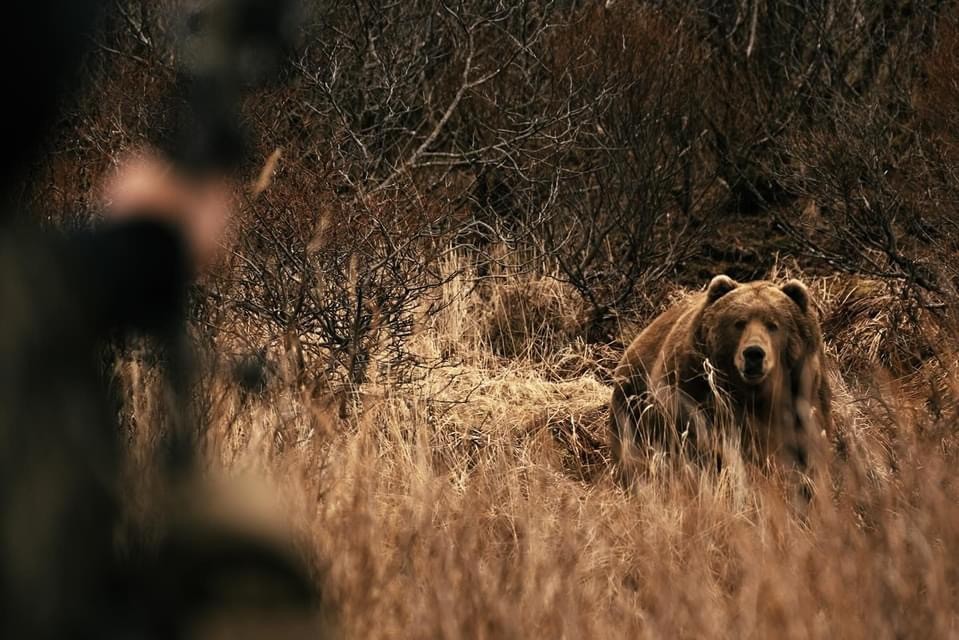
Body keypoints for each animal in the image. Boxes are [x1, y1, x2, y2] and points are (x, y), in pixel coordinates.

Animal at [616, 274, 832, 484]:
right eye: (739, 323)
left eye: (773, 324)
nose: (754, 353)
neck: (751, 394)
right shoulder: (692, 388)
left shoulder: (802, 393)